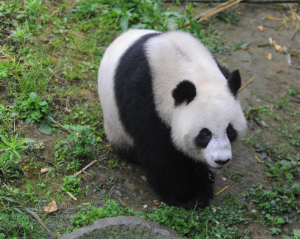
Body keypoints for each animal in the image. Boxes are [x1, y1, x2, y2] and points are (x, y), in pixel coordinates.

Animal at [98, 29, 246, 209]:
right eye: (205, 134)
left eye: (230, 130)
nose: (221, 160)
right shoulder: (146, 101)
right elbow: (160, 154)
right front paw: (187, 197)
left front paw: (202, 183)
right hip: (115, 125)